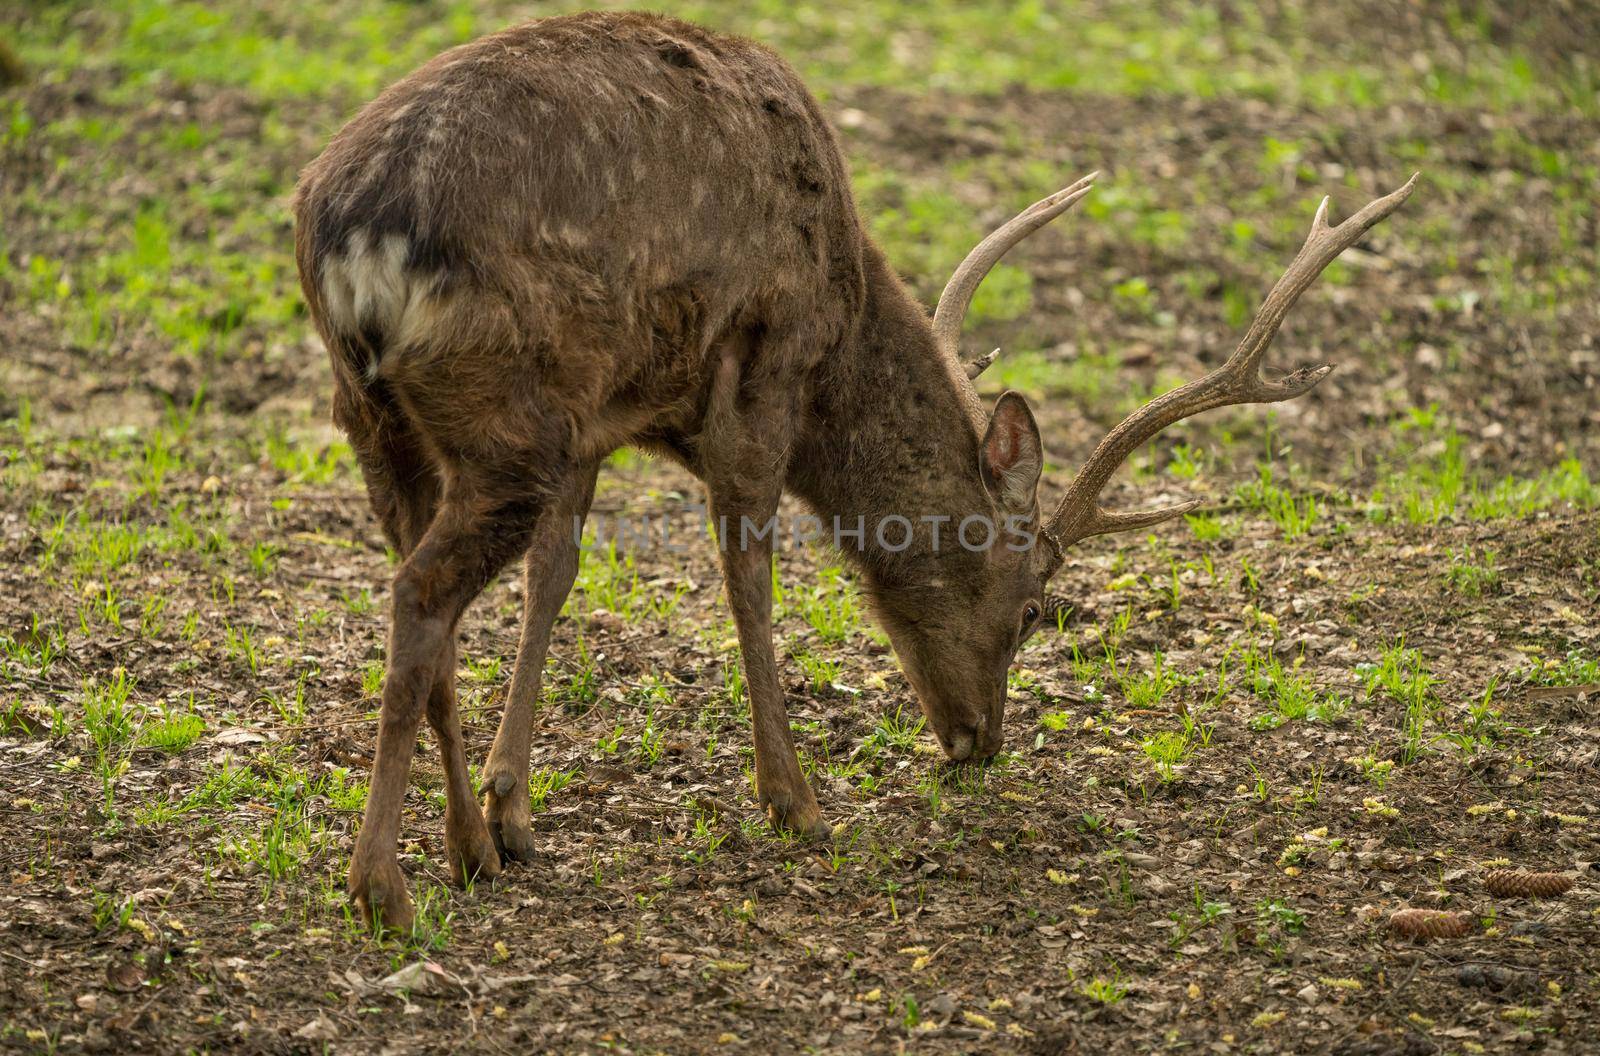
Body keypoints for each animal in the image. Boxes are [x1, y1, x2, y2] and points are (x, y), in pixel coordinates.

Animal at [291, 10, 1414, 934]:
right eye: (1034, 608)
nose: (977, 740)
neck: (847, 314)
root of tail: (356, 241)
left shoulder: (600, 411)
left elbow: (555, 579)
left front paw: (514, 811)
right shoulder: (762, 361)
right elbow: (749, 575)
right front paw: (796, 802)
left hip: (379, 416)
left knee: (425, 597)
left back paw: (465, 853)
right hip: (505, 414)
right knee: (420, 592)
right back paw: (381, 888)